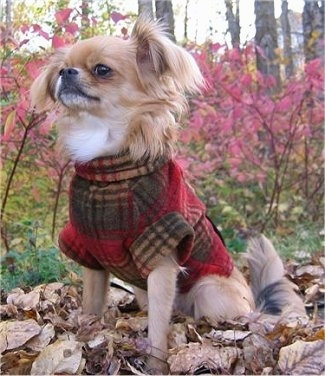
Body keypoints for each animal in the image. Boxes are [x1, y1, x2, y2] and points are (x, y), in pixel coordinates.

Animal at [29, 16, 304, 374]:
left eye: (102, 70)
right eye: (62, 68)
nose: (67, 73)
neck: (111, 171)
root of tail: (255, 305)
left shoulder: (162, 258)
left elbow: (159, 330)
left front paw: (155, 365)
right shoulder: (92, 256)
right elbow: (92, 308)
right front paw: (83, 341)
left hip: (208, 293)